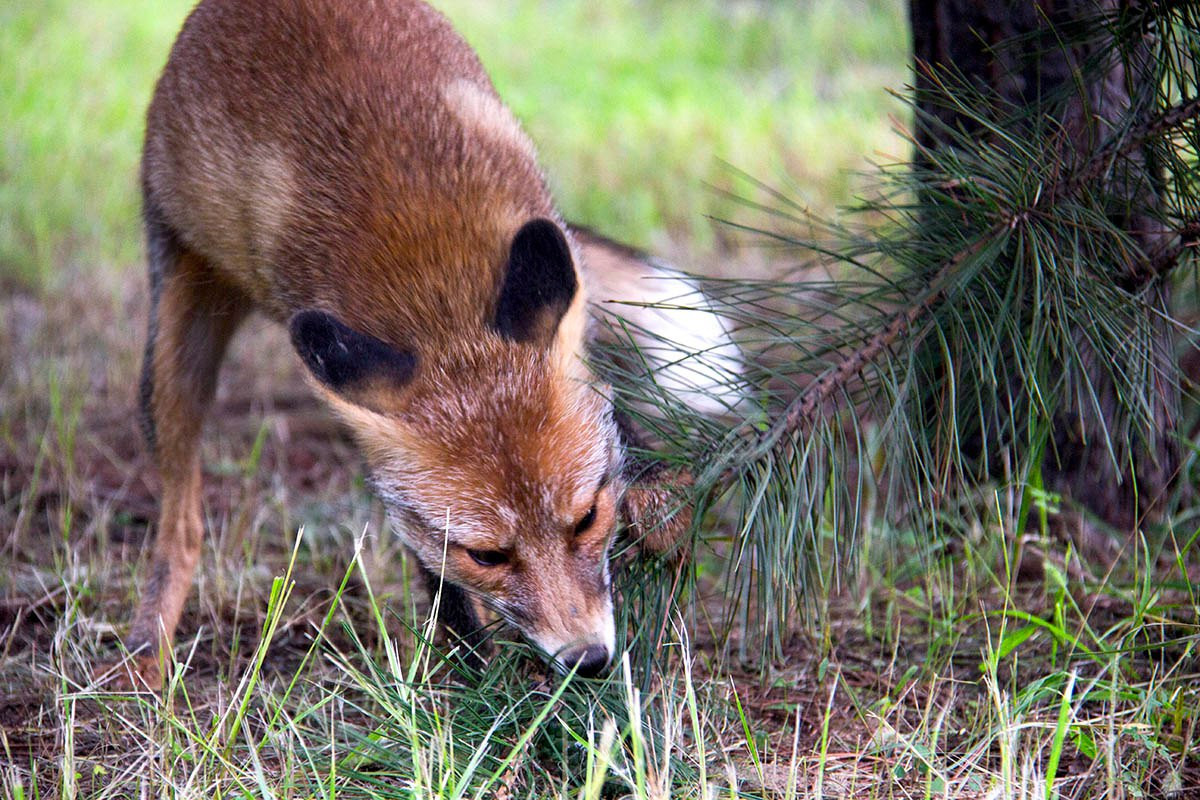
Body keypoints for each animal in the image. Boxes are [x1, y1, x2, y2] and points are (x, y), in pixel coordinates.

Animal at [119, 0, 729, 690]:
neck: (437, 292)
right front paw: (481, 684)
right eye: (487, 554)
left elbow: (630, 448)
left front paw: (660, 505)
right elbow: (441, 583)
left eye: (586, 519)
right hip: (172, 354)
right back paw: (148, 655)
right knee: (182, 525)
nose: (589, 661)